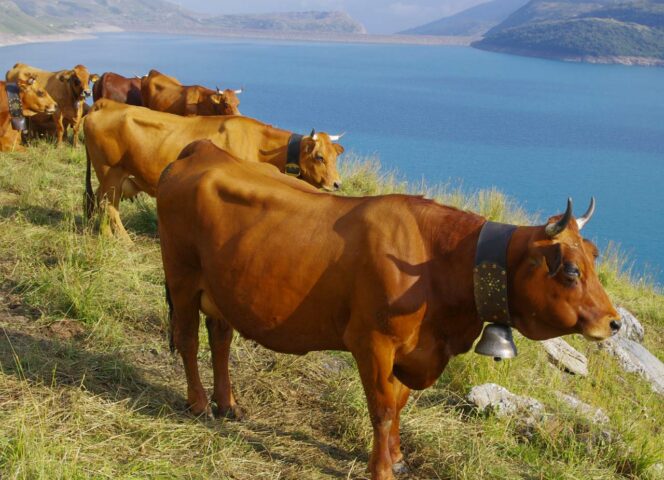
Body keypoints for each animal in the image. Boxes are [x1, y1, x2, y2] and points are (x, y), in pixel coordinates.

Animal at [85, 100, 344, 240]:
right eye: (320, 157)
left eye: (335, 157)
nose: (337, 184)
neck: (259, 145)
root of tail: (105, 104)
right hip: (110, 172)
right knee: (108, 205)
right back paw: (123, 240)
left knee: (103, 203)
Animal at [157, 139, 624, 480]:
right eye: (570, 270)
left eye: (595, 257)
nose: (614, 322)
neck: (436, 264)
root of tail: (202, 148)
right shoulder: (373, 342)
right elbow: (381, 409)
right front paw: (380, 468)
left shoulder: (413, 350)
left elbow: (398, 404)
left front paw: (397, 458)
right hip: (181, 279)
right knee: (187, 339)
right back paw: (199, 404)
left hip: (222, 289)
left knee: (220, 339)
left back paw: (229, 404)